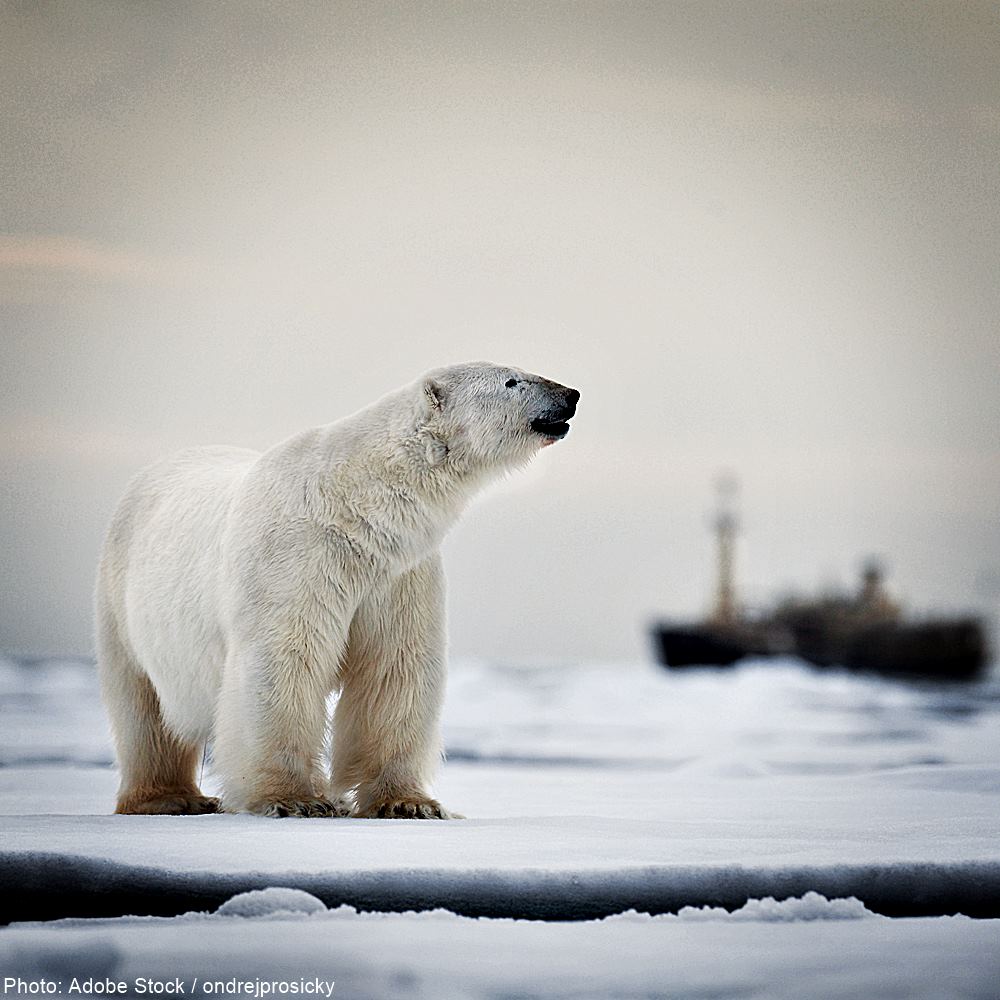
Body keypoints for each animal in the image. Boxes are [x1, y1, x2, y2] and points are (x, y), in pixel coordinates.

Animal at [95, 362, 579, 818]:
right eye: (511, 380)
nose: (570, 394)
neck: (355, 504)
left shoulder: (399, 573)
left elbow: (394, 667)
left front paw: (408, 803)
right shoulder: (297, 557)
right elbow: (284, 659)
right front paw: (293, 799)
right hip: (123, 600)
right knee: (142, 708)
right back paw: (170, 797)